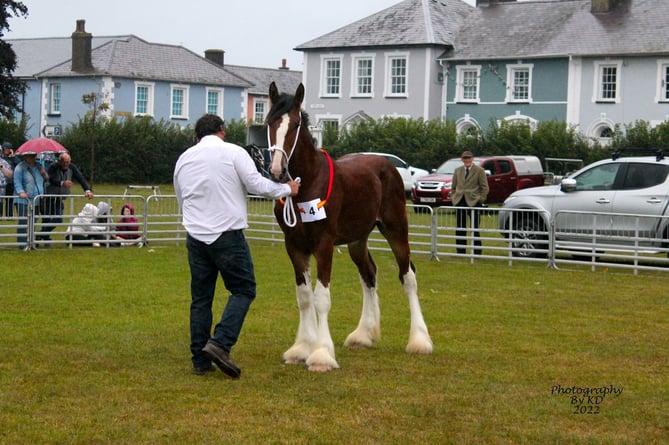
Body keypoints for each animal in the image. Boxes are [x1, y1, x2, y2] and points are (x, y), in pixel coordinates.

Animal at [266, 80, 434, 372]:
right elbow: (304, 297)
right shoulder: (294, 246)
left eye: (296, 124)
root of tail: (386, 164)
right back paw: (363, 335)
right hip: (358, 240)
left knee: (408, 276)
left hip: (396, 230)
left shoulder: (324, 244)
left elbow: (321, 298)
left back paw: (419, 341)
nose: (277, 170)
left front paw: (321, 354)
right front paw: (301, 348)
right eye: (269, 122)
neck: (308, 183)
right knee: (369, 274)